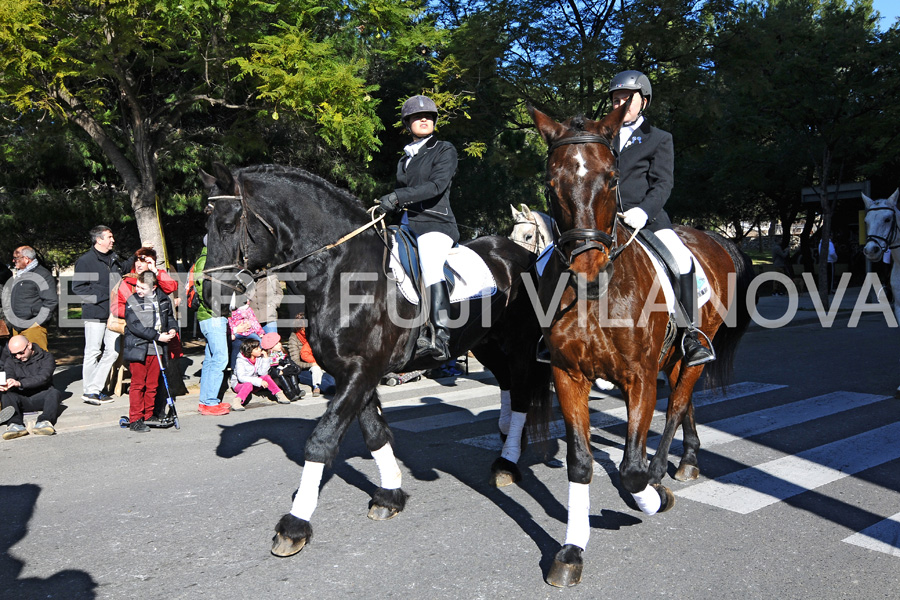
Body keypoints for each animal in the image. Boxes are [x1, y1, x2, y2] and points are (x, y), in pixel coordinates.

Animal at [200, 164, 552, 556]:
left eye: (227, 224)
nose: (208, 295)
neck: (342, 270)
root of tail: (520, 254)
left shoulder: (361, 370)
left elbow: (322, 440)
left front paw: (294, 525)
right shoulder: (354, 371)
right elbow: (374, 433)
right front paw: (389, 495)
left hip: (519, 343)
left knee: (521, 395)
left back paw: (507, 461)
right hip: (485, 342)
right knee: (506, 384)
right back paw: (506, 441)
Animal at [532, 104, 756, 584]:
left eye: (612, 177)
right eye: (551, 183)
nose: (587, 271)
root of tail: (712, 238)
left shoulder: (639, 378)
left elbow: (631, 470)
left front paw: (650, 496)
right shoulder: (568, 375)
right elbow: (581, 462)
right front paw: (571, 551)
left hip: (694, 350)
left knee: (677, 404)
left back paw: (665, 473)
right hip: (671, 358)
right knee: (685, 401)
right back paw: (688, 459)